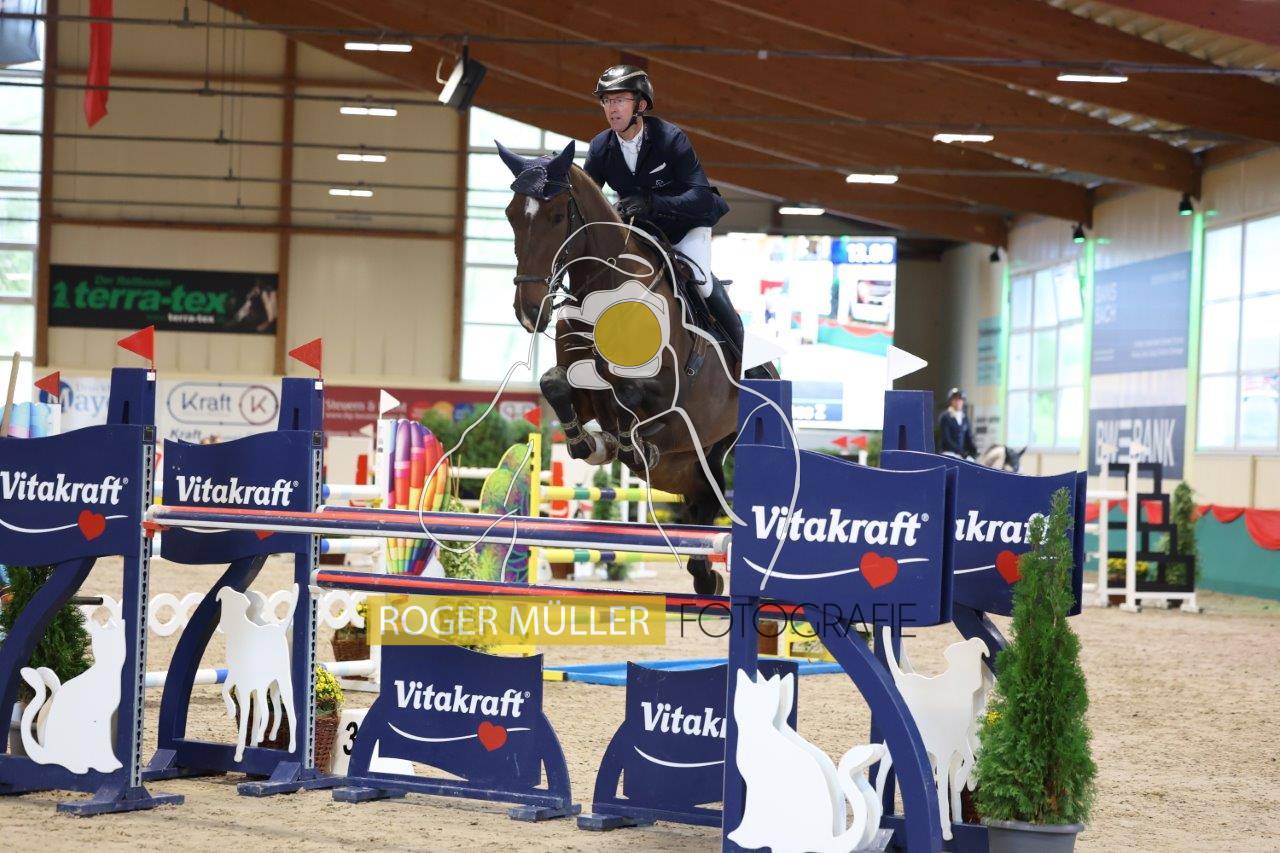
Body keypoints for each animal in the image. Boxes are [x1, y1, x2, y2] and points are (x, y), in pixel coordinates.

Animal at [496, 140, 742, 595]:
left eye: (557, 216)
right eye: (510, 214)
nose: (530, 312)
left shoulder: (670, 396)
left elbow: (629, 392)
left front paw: (625, 441)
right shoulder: (584, 393)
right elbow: (555, 383)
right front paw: (589, 443)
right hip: (680, 466)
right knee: (702, 496)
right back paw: (705, 574)